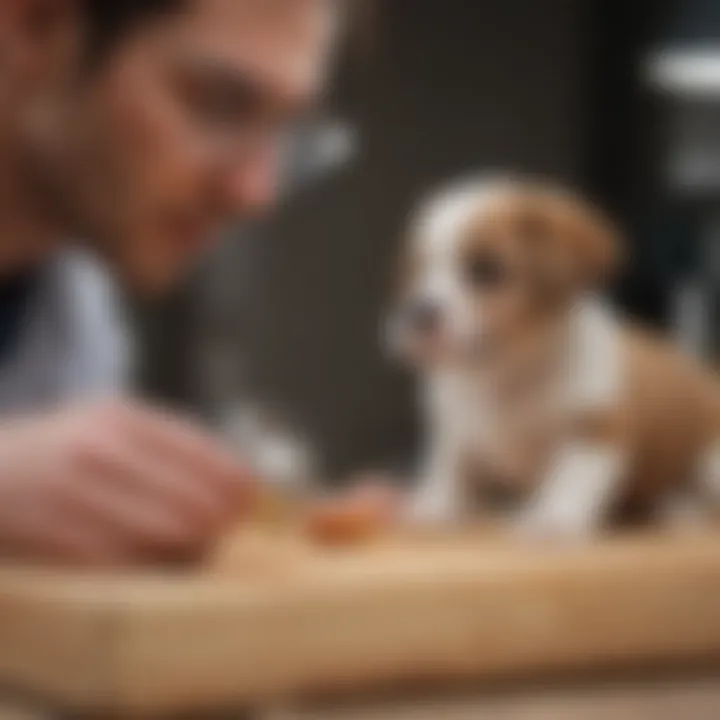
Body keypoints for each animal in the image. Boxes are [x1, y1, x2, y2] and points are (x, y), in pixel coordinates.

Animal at [388, 176, 720, 540]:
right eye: (417, 271)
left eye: (487, 269)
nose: (419, 313)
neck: (508, 375)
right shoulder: (456, 430)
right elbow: (449, 467)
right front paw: (436, 506)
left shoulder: (596, 431)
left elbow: (570, 479)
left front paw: (552, 519)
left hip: (710, 462)